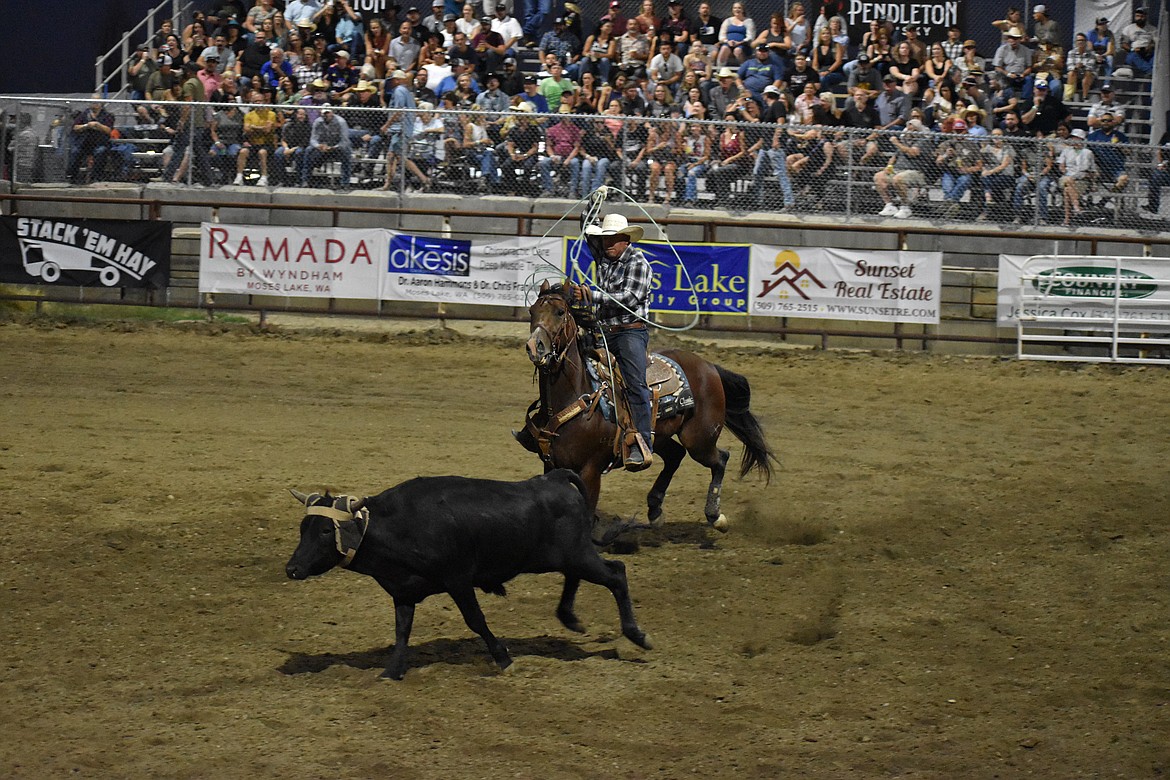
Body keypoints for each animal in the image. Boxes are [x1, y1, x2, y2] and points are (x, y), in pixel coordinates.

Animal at [521, 284, 776, 533]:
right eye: (532, 312)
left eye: (560, 312)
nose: (535, 347)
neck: (578, 398)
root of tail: (709, 366)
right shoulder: (550, 465)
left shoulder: (591, 471)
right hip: (659, 436)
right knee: (676, 455)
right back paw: (655, 510)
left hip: (699, 439)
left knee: (720, 458)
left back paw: (714, 515)